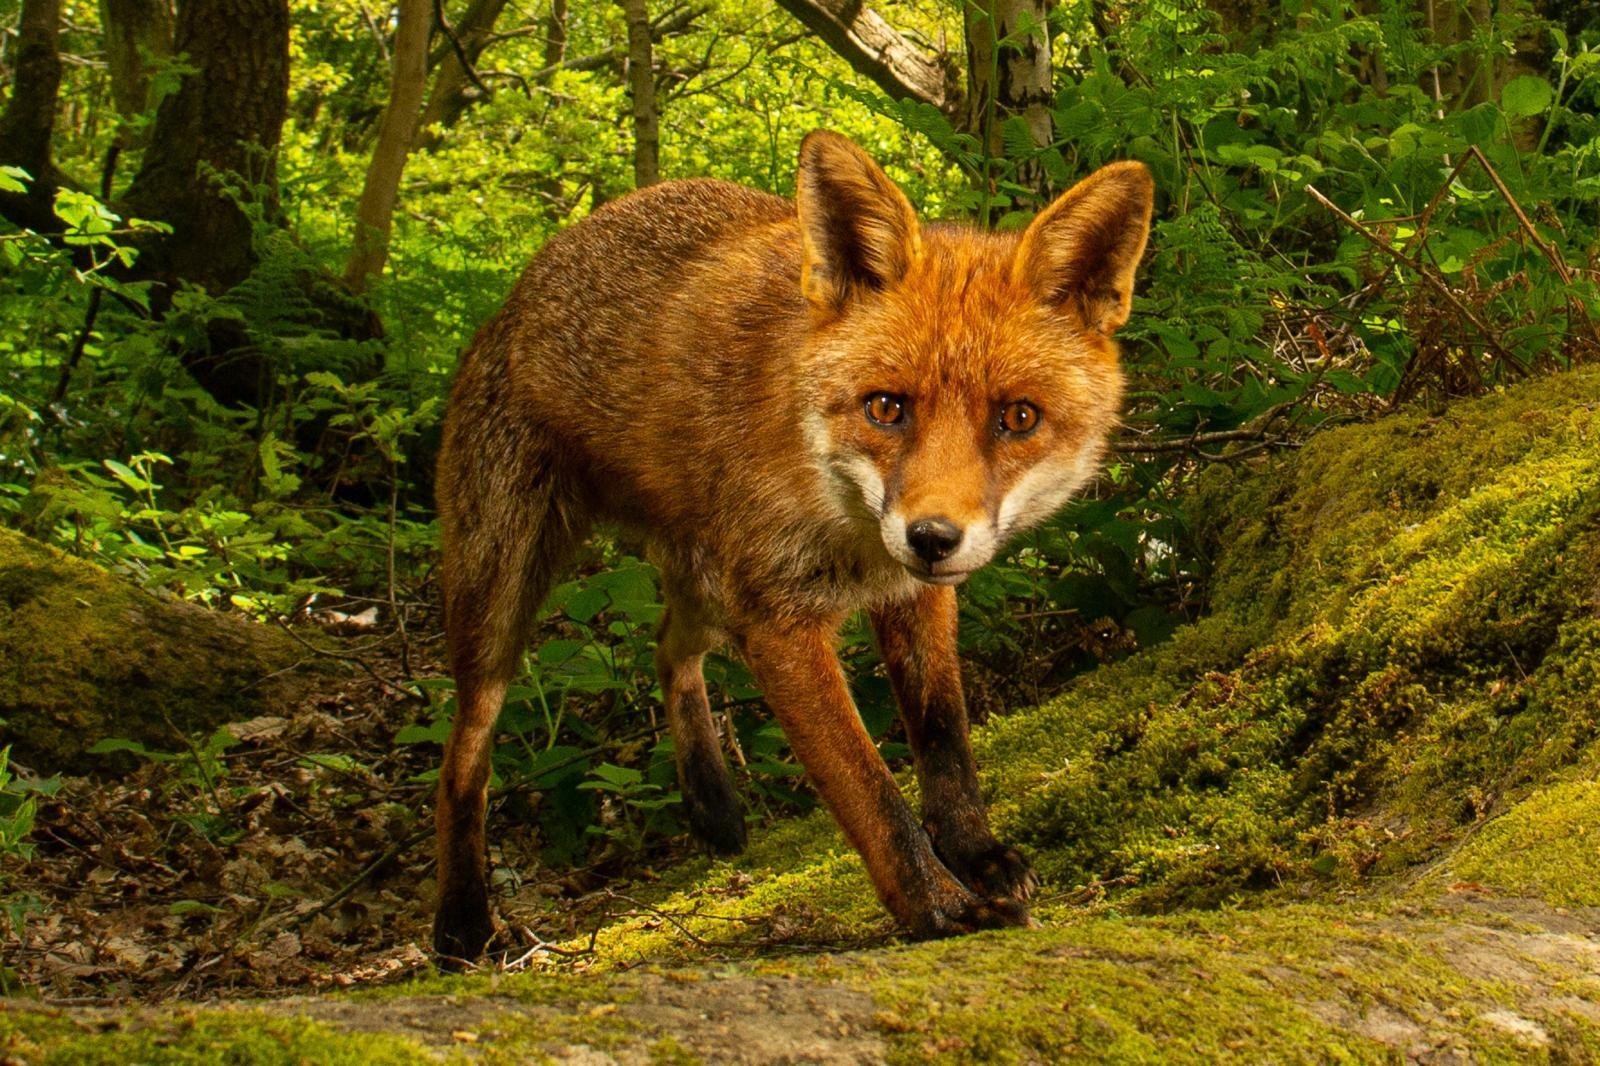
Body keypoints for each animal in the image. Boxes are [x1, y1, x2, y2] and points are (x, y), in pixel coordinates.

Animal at [432, 129, 1153, 964]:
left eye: (1019, 418)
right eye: (886, 407)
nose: (932, 537)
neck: (843, 518)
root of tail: (526, 282)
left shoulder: (909, 595)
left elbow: (944, 736)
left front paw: (975, 853)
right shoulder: (780, 623)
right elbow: (868, 789)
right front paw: (939, 903)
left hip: (710, 587)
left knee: (666, 644)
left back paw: (710, 801)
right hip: (502, 603)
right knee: (462, 758)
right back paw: (461, 922)